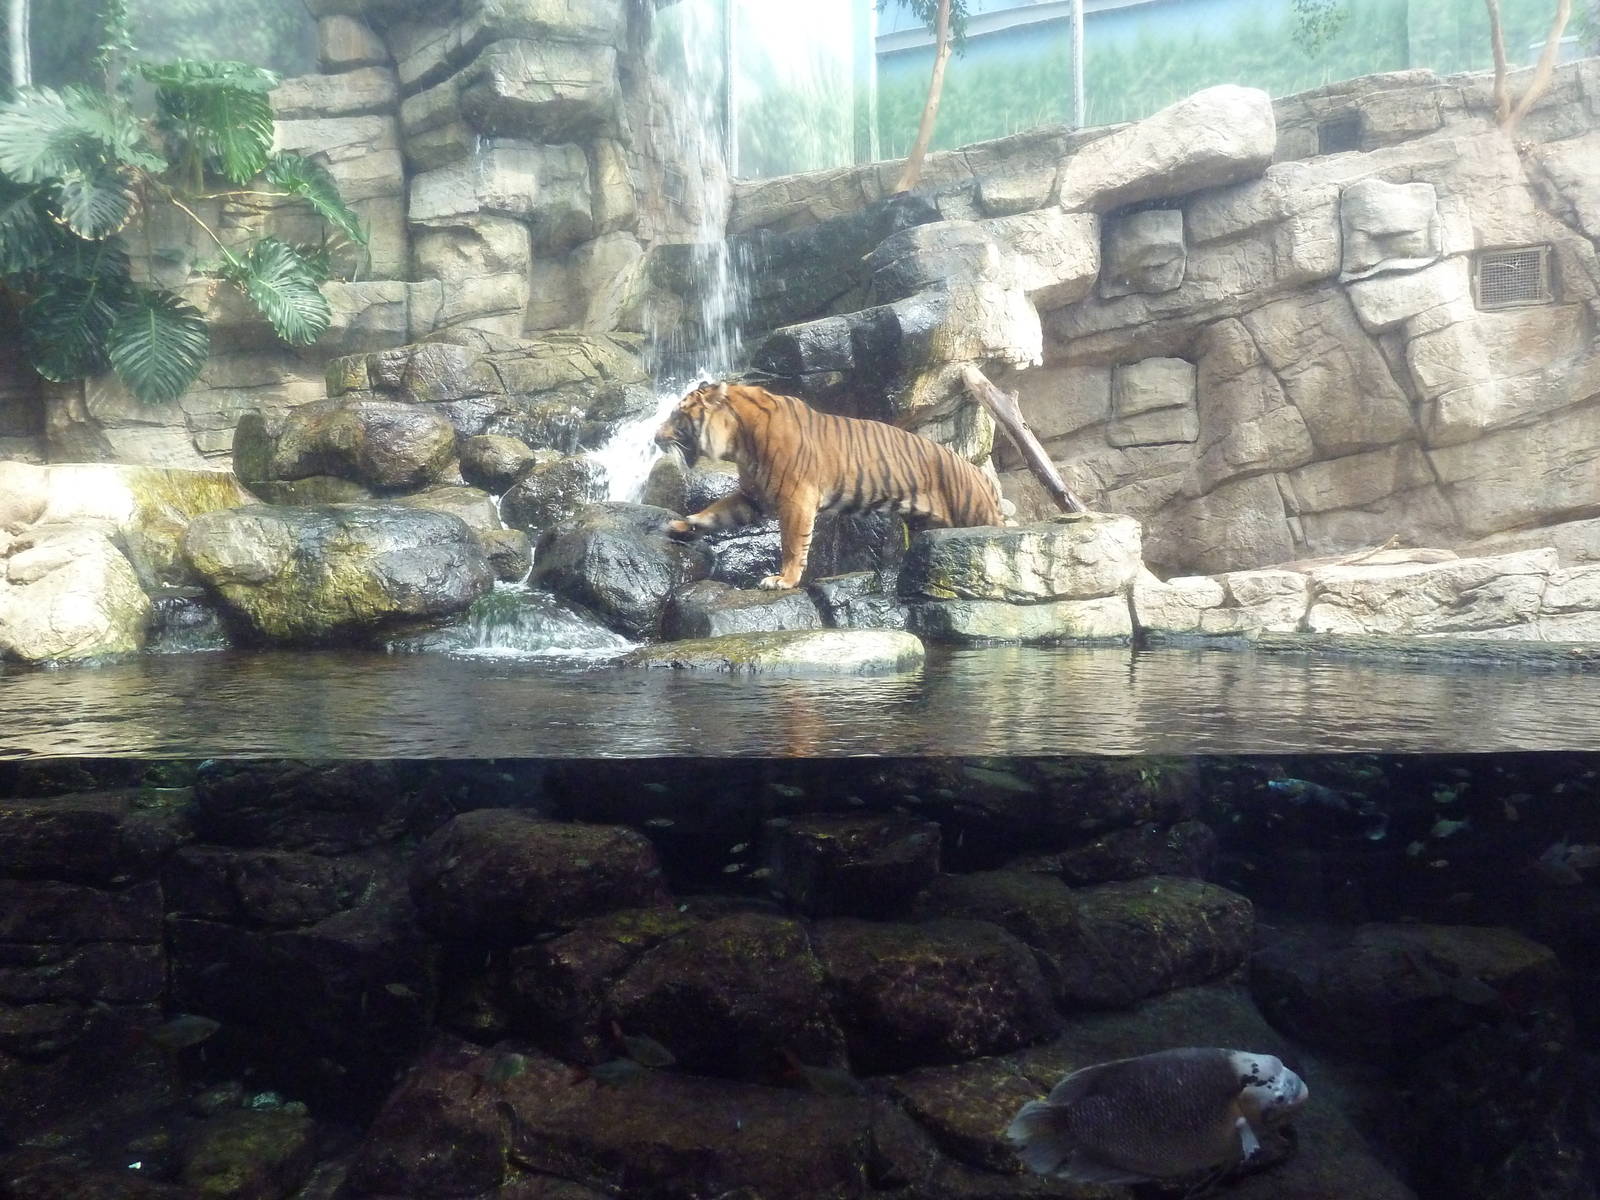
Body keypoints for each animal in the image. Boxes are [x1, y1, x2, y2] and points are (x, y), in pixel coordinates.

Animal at [652, 381, 1003, 590]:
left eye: (678, 417)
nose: (654, 438)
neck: (739, 442)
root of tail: (980, 473)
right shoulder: (752, 497)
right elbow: (712, 514)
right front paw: (681, 527)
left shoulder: (795, 498)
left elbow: (793, 543)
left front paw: (783, 579)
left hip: (975, 516)